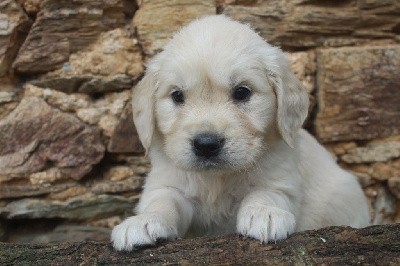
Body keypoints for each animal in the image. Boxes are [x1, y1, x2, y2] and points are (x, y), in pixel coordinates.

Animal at [111, 15, 370, 251]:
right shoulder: (168, 183)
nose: (206, 144)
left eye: (242, 92)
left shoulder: (281, 180)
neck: (217, 180)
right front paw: (144, 221)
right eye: (177, 96)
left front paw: (264, 214)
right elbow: (163, 202)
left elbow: (263, 193)